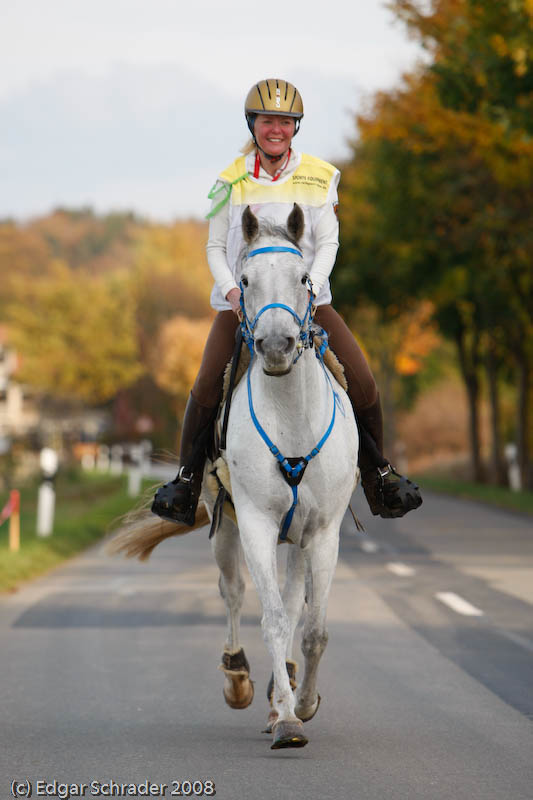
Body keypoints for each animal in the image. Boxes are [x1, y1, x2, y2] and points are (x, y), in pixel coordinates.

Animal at [107, 205, 358, 752]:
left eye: (304, 278)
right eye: (243, 281)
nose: (277, 345)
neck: (291, 416)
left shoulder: (323, 532)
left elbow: (313, 628)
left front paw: (303, 703)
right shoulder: (257, 525)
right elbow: (272, 619)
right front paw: (286, 720)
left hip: (297, 537)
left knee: (292, 600)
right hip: (225, 523)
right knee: (234, 591)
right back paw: (241, 679)